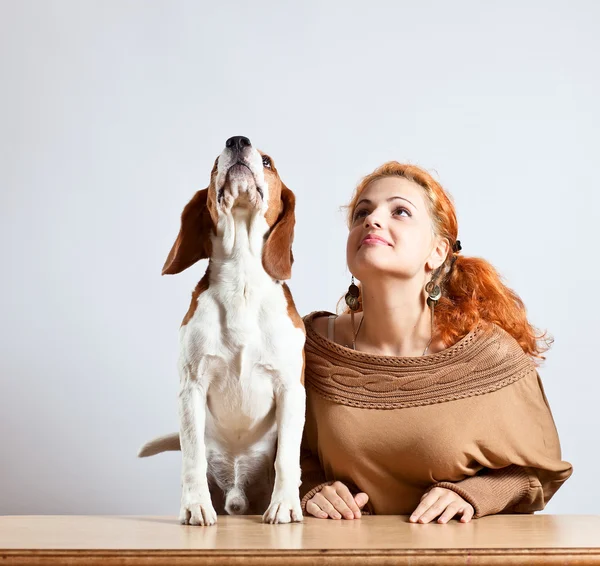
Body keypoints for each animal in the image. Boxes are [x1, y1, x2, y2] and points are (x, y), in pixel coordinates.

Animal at [139, 138, 308, 528]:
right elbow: (192, 455)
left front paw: (285, 505)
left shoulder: (292, 389)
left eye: (267, 161)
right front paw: (195, 506)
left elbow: (286, 458)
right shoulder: (191, 389)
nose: (237, 140)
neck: (242, 280)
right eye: (216, 162)